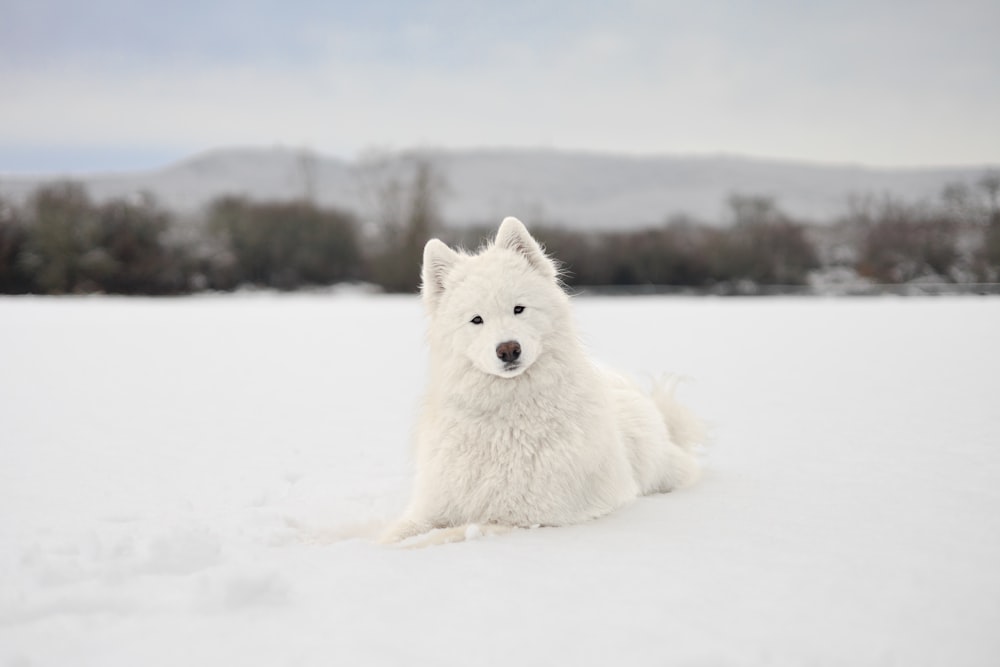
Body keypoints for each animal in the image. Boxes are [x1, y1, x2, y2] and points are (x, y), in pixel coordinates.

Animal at [382, 217, 704, 544]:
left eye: (518, 309)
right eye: (477, 319)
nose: (508, 349)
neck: (508, 415)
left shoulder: (524, 516)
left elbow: (446, 536)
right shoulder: (434, 506)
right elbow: (399, 531)